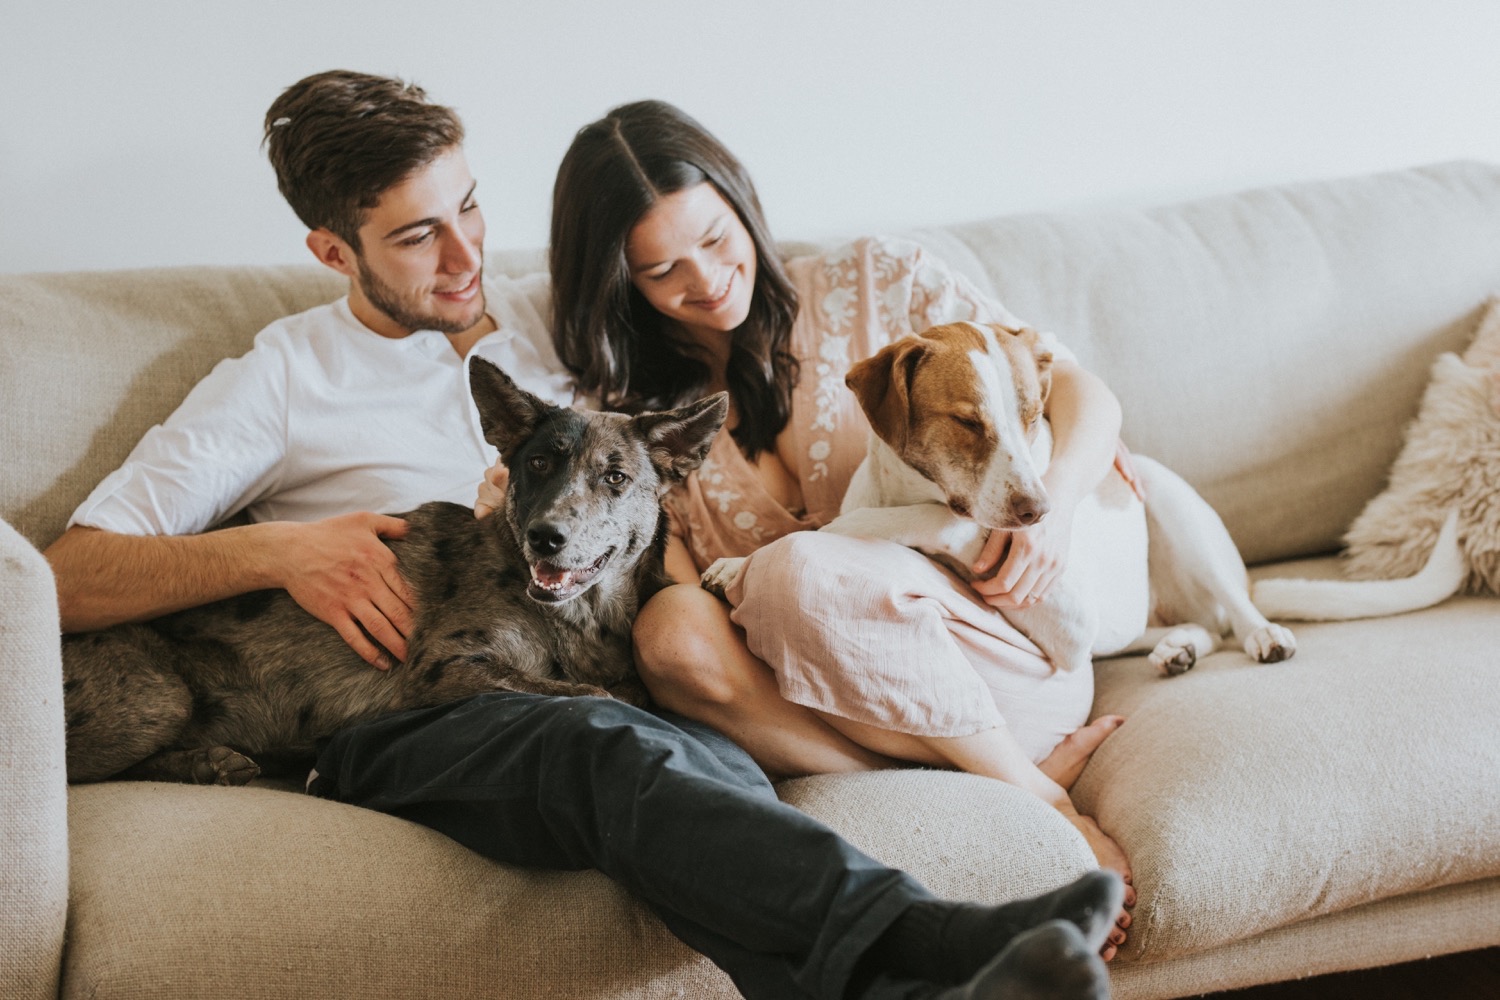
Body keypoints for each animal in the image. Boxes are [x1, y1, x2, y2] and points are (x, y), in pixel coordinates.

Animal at [61, 359, 729, 791]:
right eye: (538, 463)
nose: (546, 537)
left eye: (615, 478)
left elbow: (623, 687)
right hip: (157, 697)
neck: (581, 617)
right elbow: (597, 694)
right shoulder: (447, 669)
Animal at [708, 325, 1296, 677]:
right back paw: (1180, 646)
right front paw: (741, 560)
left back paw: (1263, 634)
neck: (904, 491)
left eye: (1034, 417)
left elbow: (871, 524)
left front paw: (757, 555)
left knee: (1235, 610)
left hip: (1169, 502)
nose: (1040, 511)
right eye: (968, 422)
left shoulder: (1068, 615)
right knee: (1202, 629)